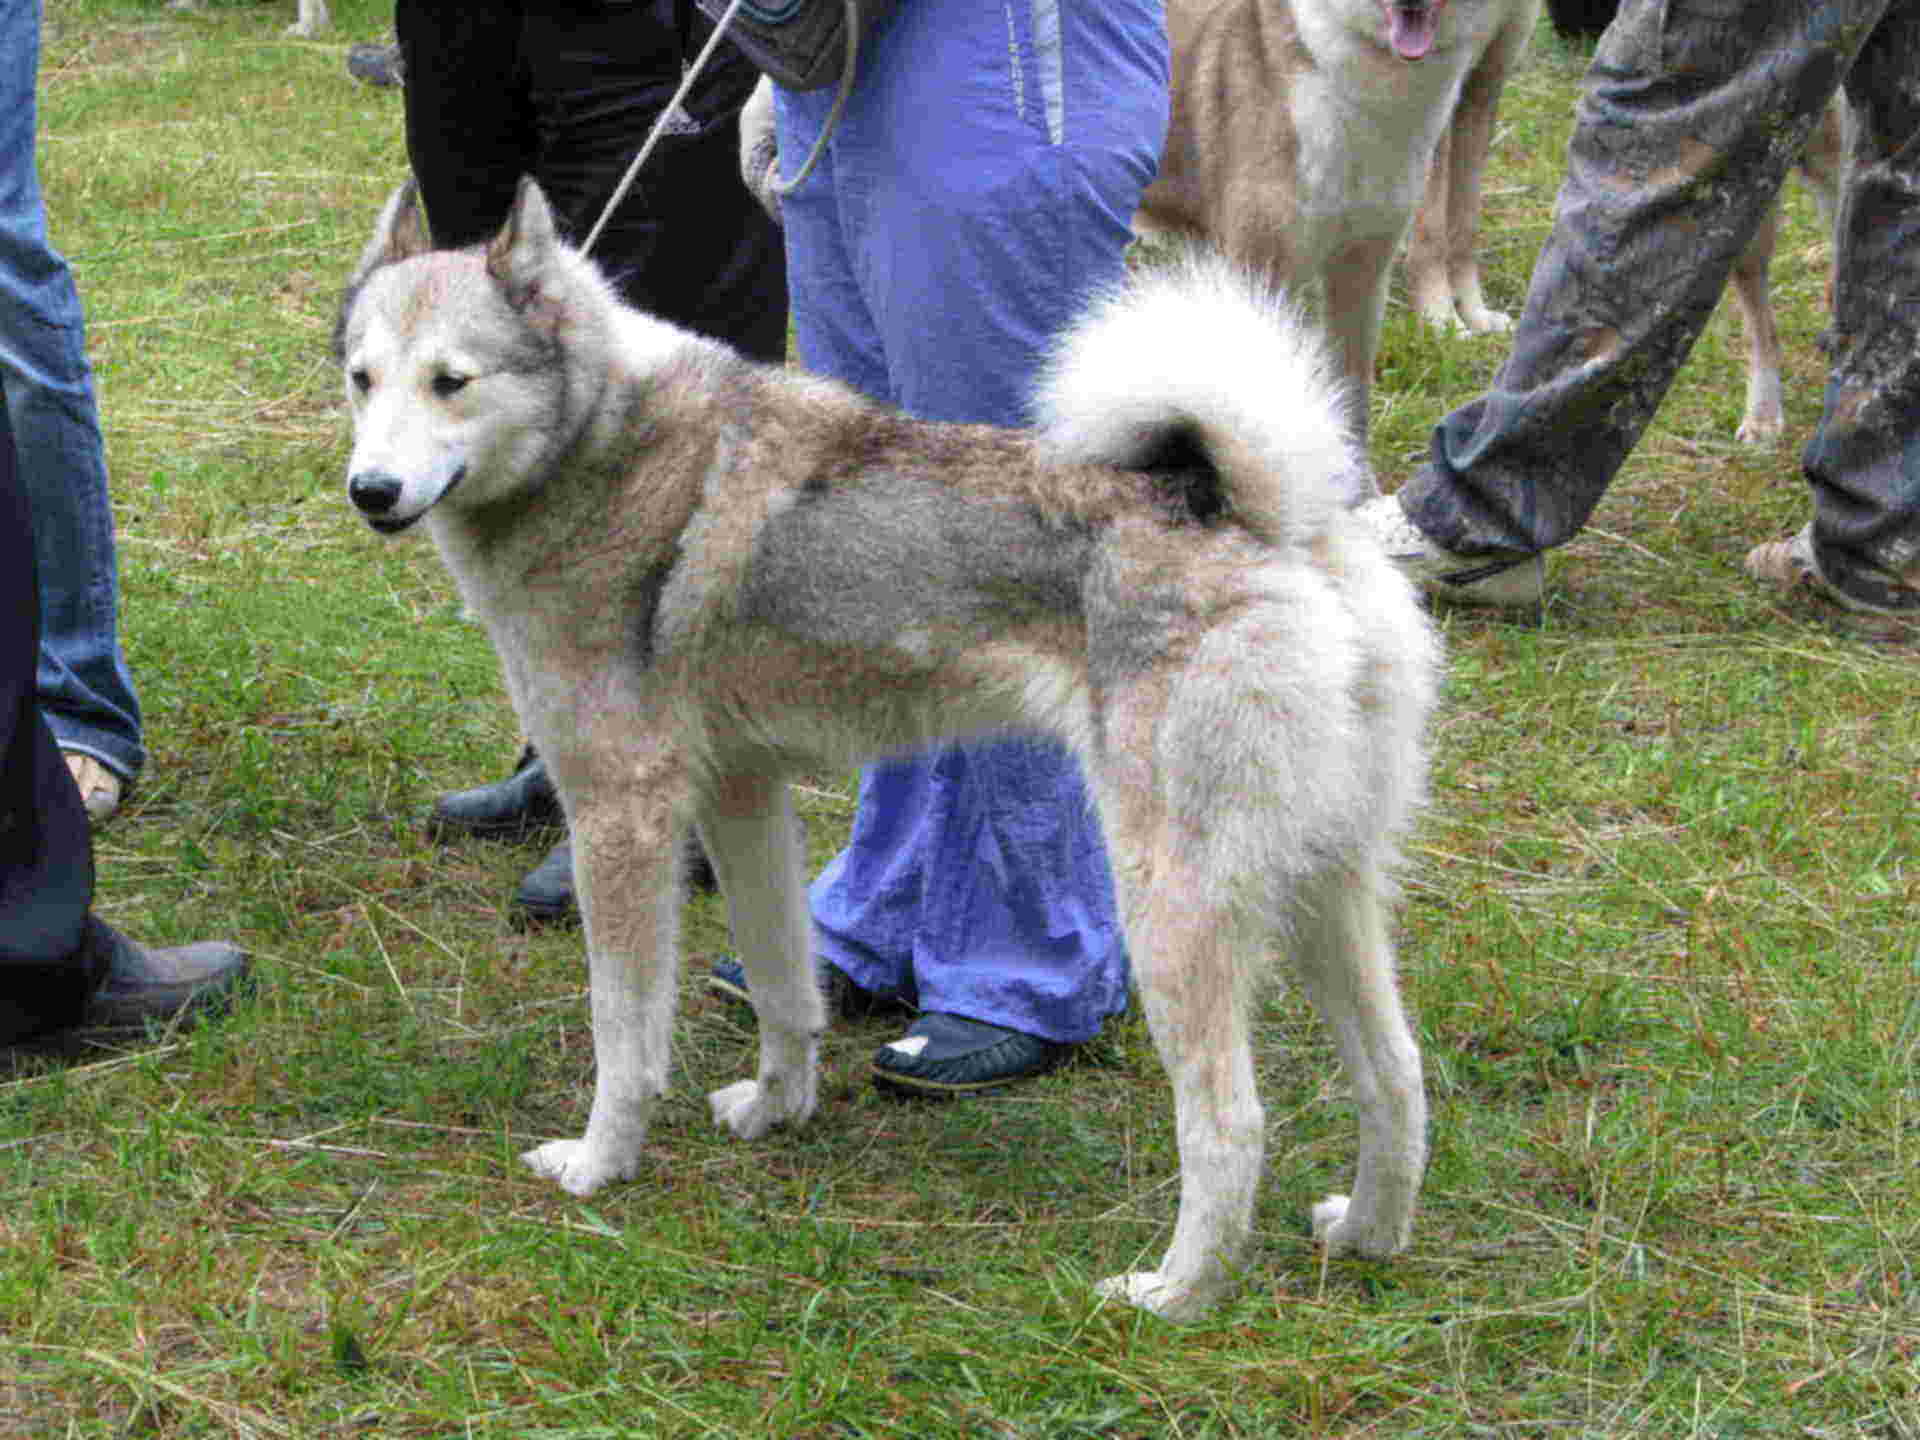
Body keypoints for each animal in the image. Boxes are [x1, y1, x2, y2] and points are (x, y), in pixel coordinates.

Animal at [334, 177, 1443, 1320]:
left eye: (451, 381)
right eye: (361, 378)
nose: (369, 490)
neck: (605, 440)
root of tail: (1262, 517)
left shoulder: (621, 818)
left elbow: (625, 1032)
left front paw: (601, 1164)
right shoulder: (741, 796)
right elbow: (786, 983)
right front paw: (775, 1110)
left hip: (1174, 902)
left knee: (1230, 1122)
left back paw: (1173, 1292)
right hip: (1325, 884)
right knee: (1396, 1072)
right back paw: (1367, 1233)